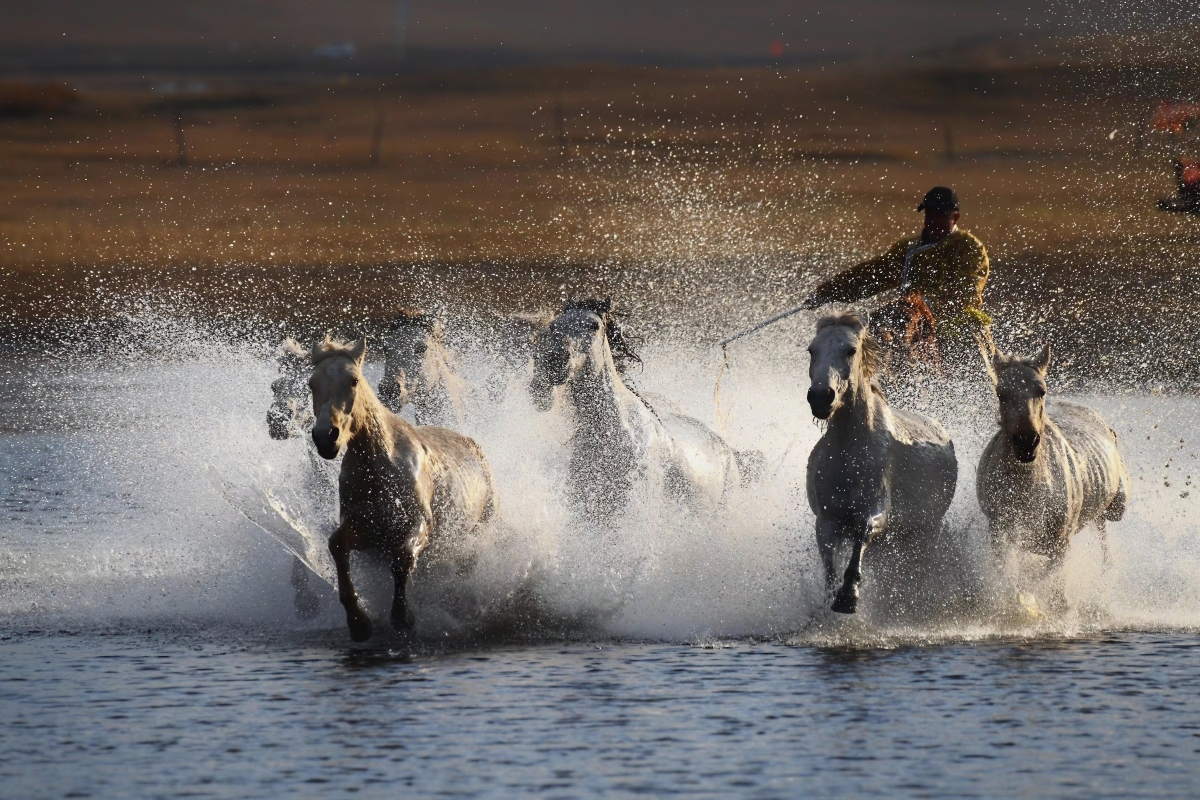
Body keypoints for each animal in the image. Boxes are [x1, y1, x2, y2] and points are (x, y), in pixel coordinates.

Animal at [312, 335, 499, 642]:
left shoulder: (417, 523)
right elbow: (337, 545)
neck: (379, 468)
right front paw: (359, 623)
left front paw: (403, 617)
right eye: (311, 383)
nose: (326, 437)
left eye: (353, 380)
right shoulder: (365, 530)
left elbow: (402, 559)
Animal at [806, 311, 955, 614]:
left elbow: (863, 530)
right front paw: (831, 601)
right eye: (811, 350)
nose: (820, 397)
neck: (849, 453)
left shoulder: (877, 511)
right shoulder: (827, 520)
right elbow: (829, 568)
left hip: (924, 533)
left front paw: (848, 595)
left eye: (851, 350)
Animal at [979, 345, 1128, 599]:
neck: (1028, 487)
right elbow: (1014, 575)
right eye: (1001, 394)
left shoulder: (1060, 545)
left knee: (1102, 526)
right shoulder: (1001, 535)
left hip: (1117, 506)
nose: (1026, 443)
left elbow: (1047, 583)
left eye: (1041, 391)